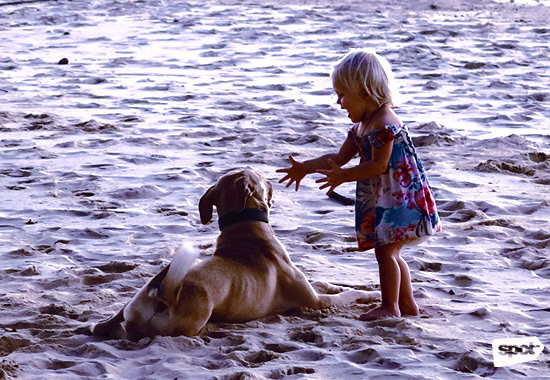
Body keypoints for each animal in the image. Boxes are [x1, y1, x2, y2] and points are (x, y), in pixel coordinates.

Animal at [92, 169, 378, 338]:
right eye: (260, 178)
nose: (272, 180)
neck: (245, 226)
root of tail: (163, 294)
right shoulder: (317, 302)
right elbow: (348, 295)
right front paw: (369, 295)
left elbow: (327, 283)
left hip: (130, 302)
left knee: (105, 323)